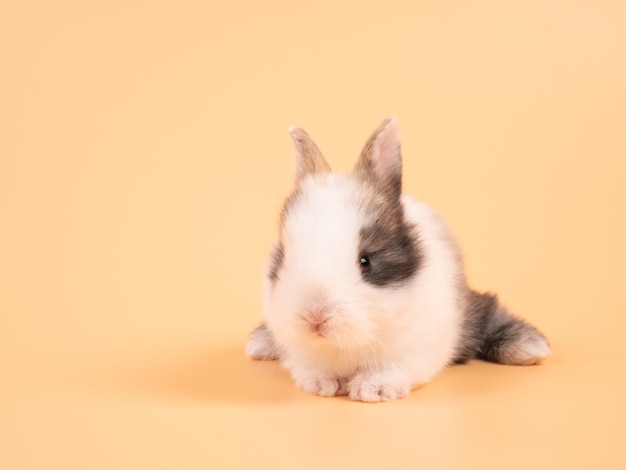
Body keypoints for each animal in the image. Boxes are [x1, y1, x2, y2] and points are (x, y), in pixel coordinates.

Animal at [244, 119, 544, 402]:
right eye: (284, 257)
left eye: (366, 261)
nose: (315, 316)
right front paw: (320, 384)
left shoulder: (416, 347)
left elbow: (393, 368)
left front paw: (373, 389)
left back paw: (530, 347)